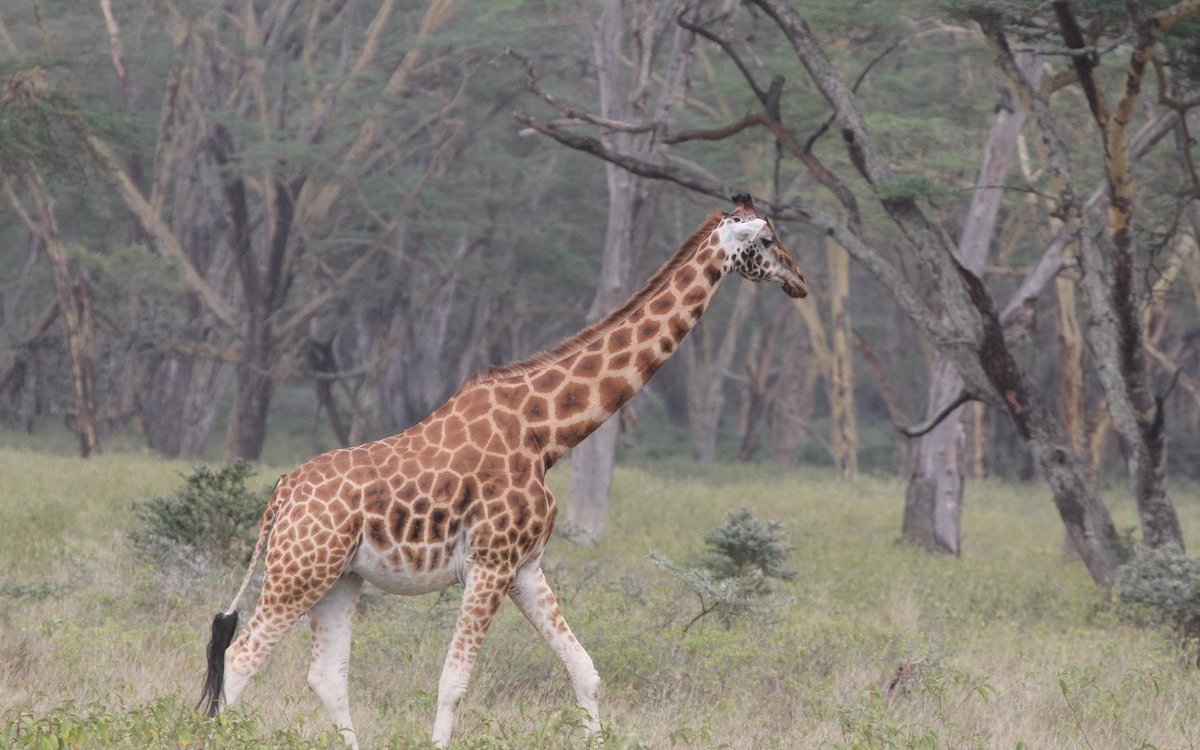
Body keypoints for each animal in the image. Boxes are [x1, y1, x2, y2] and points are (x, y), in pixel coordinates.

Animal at [201, 192, 811, 744]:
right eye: (766, 238)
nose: (800, 279)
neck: (547, 433)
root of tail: (280, 494)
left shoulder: (525, 567)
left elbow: (584, 670)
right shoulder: (490, 563)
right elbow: (453, 684)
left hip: (338, 578)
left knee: (325, 677)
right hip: (299, 571)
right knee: (239, 661)